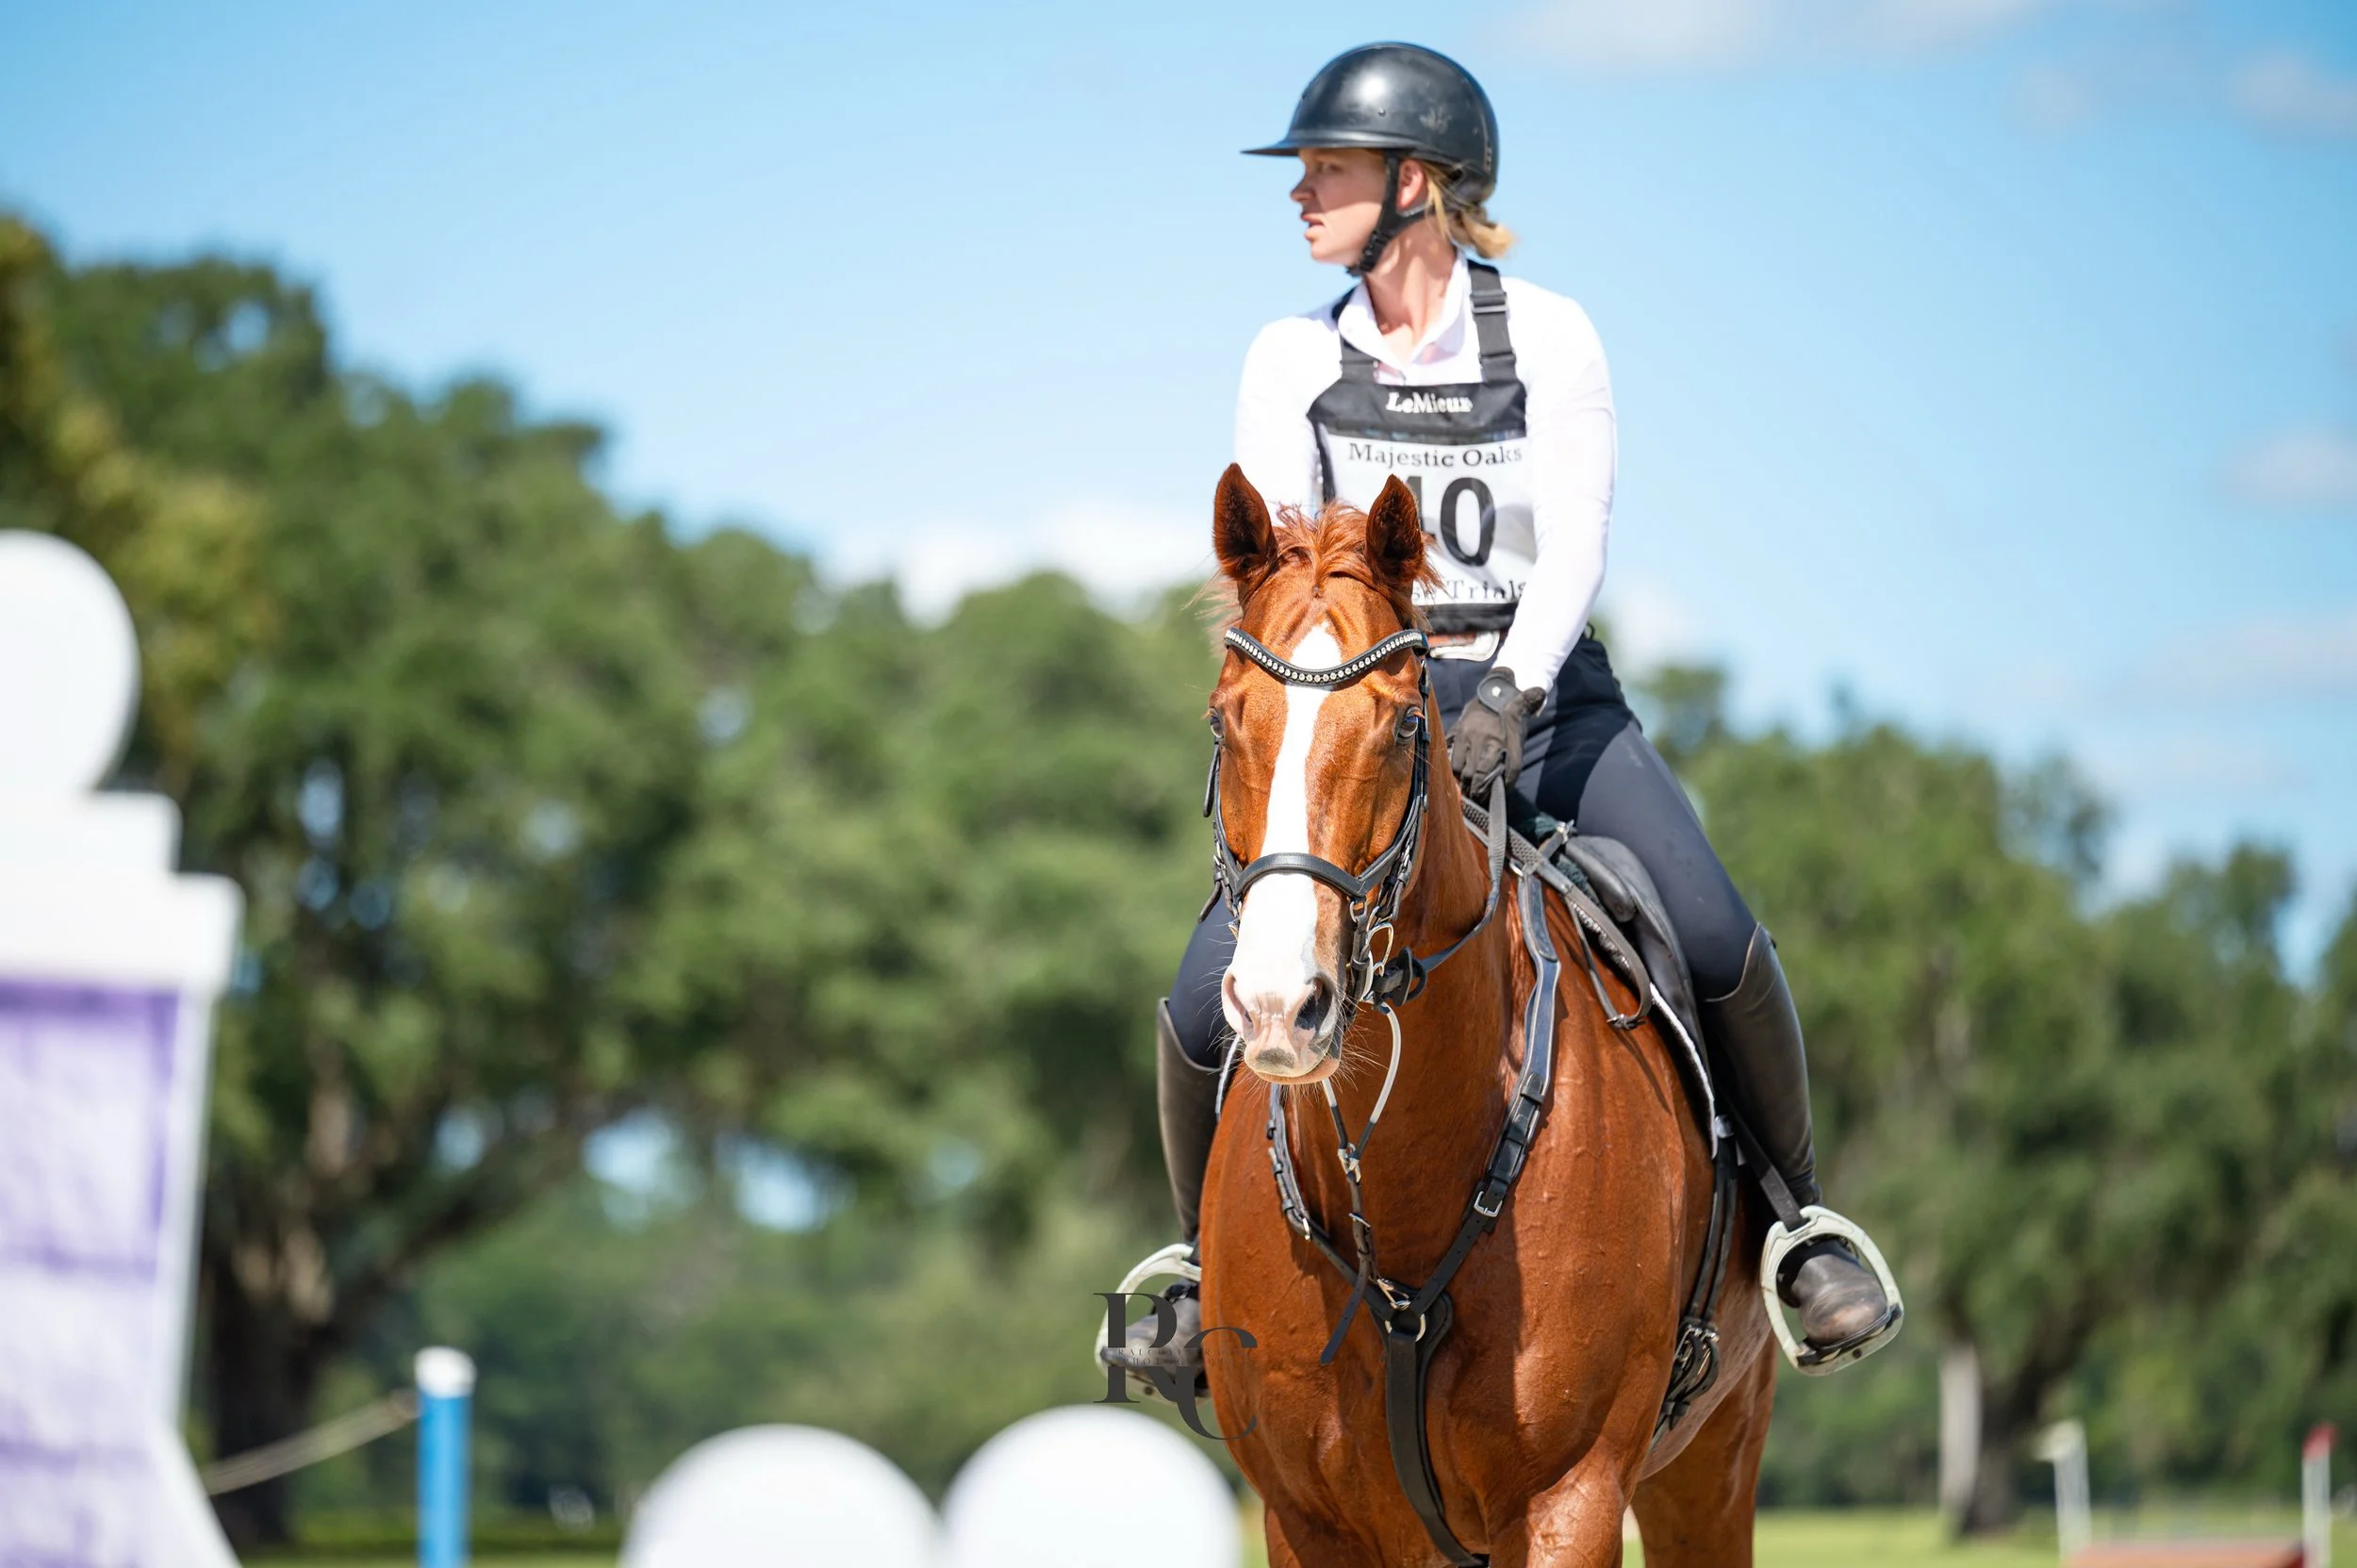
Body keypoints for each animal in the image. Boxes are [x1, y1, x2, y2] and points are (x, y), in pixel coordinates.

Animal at [1194, 465, 1780, 1567]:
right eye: (1222, 718)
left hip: (1714, 1458)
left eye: (1402, 726)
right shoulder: (1304, 1518)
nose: (1282, 1006)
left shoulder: (1569, 1500)